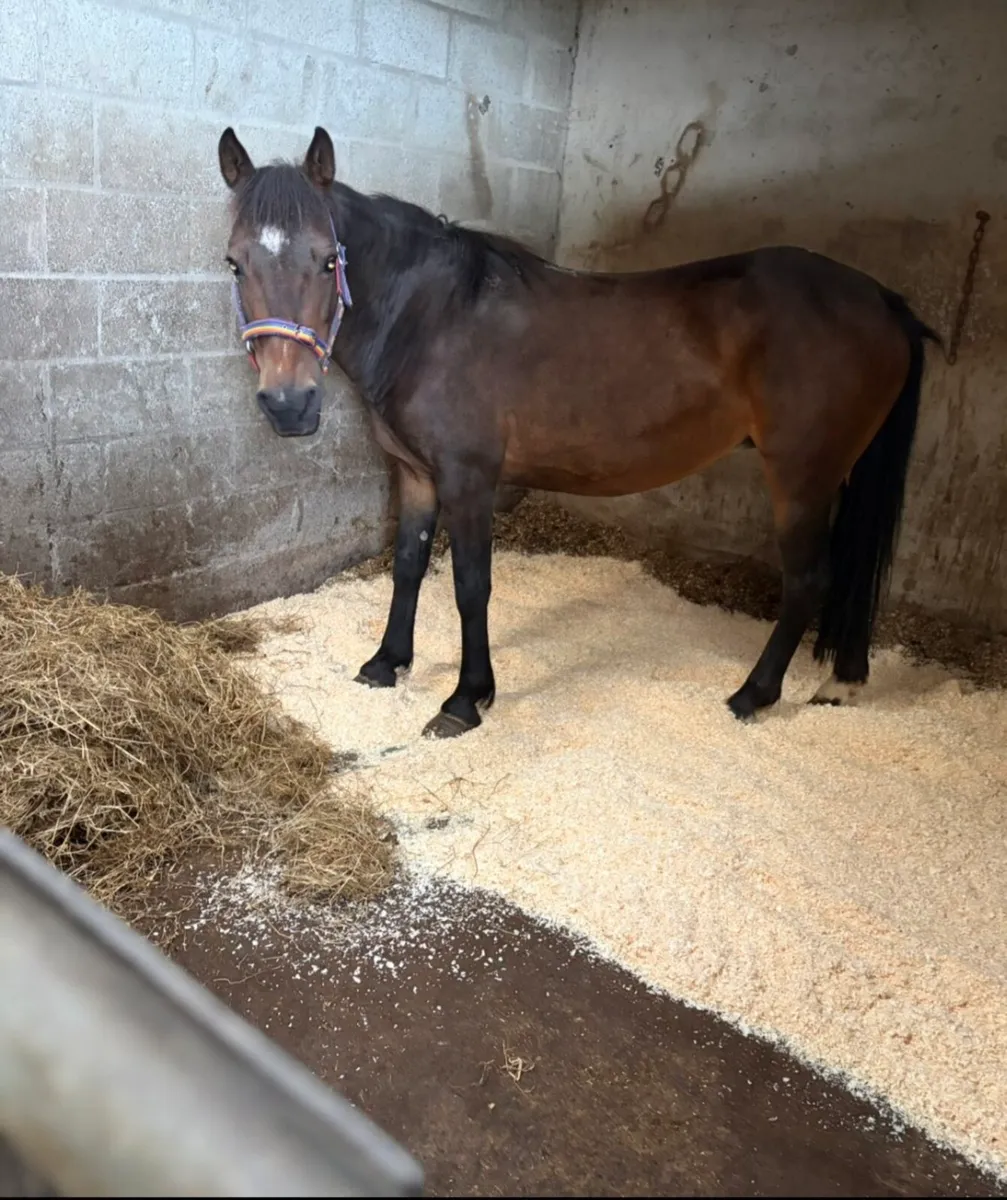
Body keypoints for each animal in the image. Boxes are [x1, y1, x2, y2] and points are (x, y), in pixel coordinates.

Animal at [217, 125, 939, 739]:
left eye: (324, 260)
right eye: (234, 264)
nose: (287, 405)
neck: (432, 318)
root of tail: (884, 302)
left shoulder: (469, 479)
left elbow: (470, 585)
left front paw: (465, 699)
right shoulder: (417, 473)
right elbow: (408, 564)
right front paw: (386, 663)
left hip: (801, 476)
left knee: (810, 580)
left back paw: (751, 695)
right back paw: (838, 683)